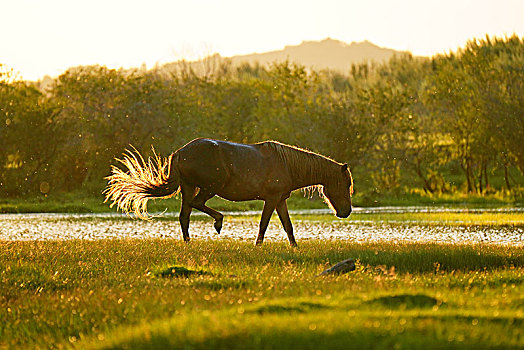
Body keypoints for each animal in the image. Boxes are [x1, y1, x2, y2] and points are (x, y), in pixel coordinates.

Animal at [104, 138, 354, 247]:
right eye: (345, 185)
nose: (346, 212)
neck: (286, 164)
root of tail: (179, 153)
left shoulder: (280, 200)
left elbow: (288, 226)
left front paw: (294, 248)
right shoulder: (271, 199)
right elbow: (264, 224)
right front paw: (257, 246)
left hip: (189, 187)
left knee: (184, 215)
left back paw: (188, 243)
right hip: (209, 187)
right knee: (196, 206)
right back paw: (218, 222)